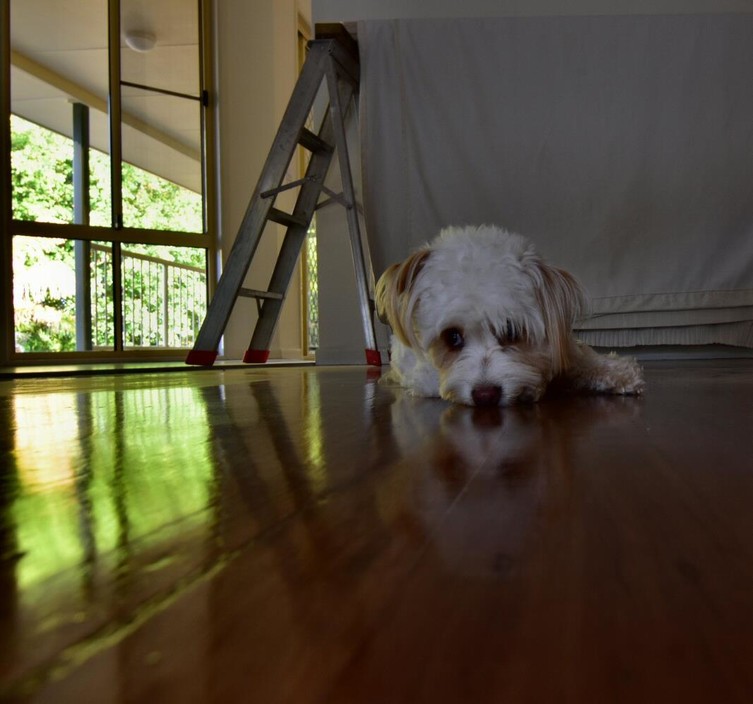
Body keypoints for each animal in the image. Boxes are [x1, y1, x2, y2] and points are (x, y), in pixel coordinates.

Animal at [374, 226, 644, 408]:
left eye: (511, 330)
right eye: (452, 337)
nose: (485, 396)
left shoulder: (564, 344)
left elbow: (583, 357)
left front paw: (619, 372)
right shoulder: (427, 378)